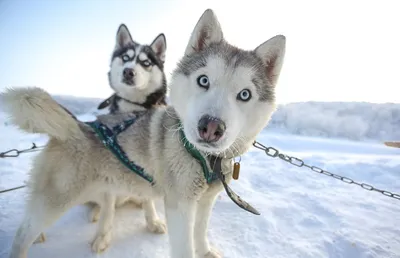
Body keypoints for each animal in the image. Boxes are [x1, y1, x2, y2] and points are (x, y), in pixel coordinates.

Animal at [2, 8, 284, 258]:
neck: (203, 158)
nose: (212, 127)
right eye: (203, 80)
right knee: (23, 231)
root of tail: (77, 126)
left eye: (244, 94)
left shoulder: (205, 201)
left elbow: (200, 233)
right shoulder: (179, 205)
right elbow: (184, 247)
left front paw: (205, 251)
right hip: (57, 199)